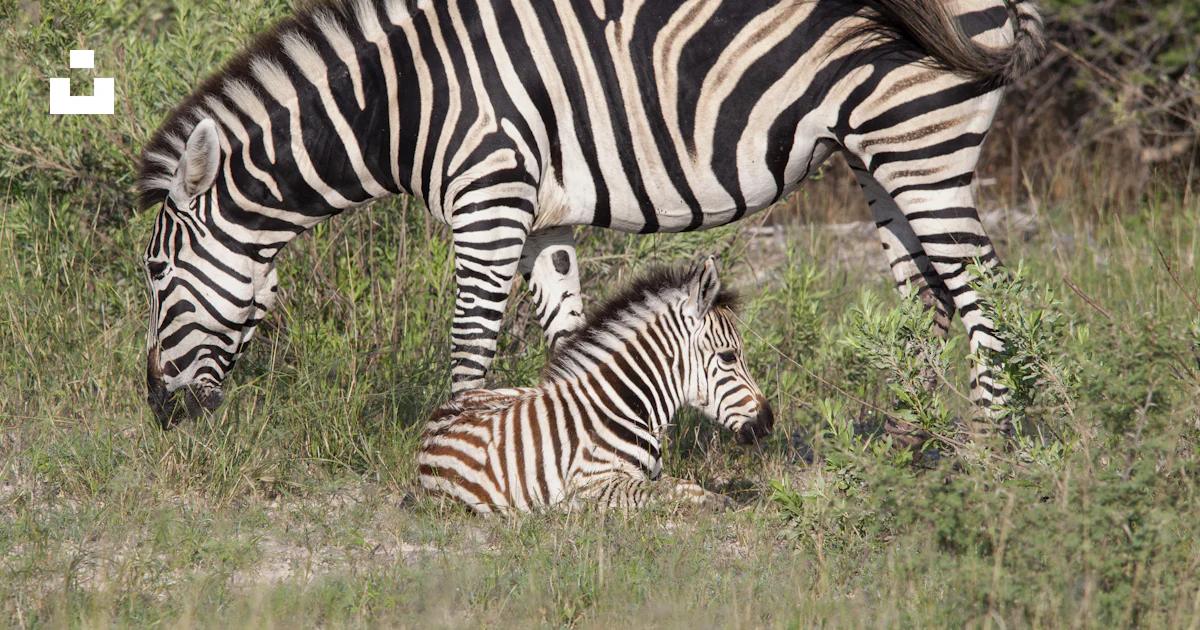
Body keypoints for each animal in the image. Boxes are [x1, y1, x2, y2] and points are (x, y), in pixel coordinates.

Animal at [138, 0, 1047, 433]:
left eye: (155, 275)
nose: (159, 409)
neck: (402, 105)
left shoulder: (490, 196)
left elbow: (470, 337)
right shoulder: (543, 216)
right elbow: (569, 333)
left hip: (922, 141)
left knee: (987, 290)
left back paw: (993, 441)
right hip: (877, 157)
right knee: (931, 299)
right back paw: (919, 433)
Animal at [418, 256, 772, 513]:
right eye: (728, 357)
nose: (768, 422)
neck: (623, 405)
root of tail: (440, 413)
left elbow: (680, 485)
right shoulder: (592, 485)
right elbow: (676, 491)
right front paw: (720, 503)